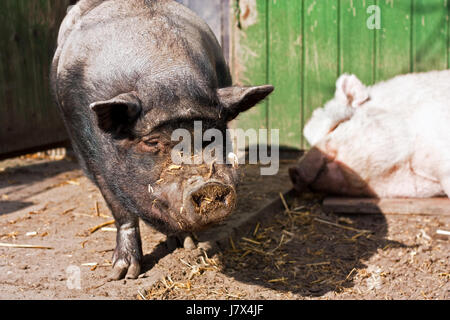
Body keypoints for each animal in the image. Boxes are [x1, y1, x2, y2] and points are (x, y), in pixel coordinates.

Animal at [51, 0, 272, 280]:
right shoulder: (95, 159)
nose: (209, 185)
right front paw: (123, 274)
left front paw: (189, 245)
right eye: (152, 142)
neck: (166, 75)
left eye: (214, 134)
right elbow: (121, 211)